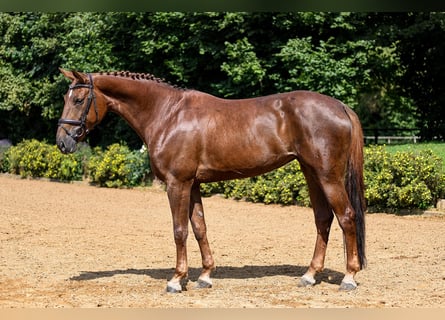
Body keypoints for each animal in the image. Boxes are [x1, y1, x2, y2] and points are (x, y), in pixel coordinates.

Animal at [57, 69, 366, 292]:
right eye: (65, 98)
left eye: (78, 100)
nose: (62, 142)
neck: (167, 113)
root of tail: (340, 106)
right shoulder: (192, 185)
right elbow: (199, 227)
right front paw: (205, 276)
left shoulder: (177, 183)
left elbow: (179, 230)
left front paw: (176, 279)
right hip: (311, 173)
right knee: (323, 219)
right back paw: (310, 275)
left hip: (328, 176)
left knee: (346, 216)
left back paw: (349, 278)